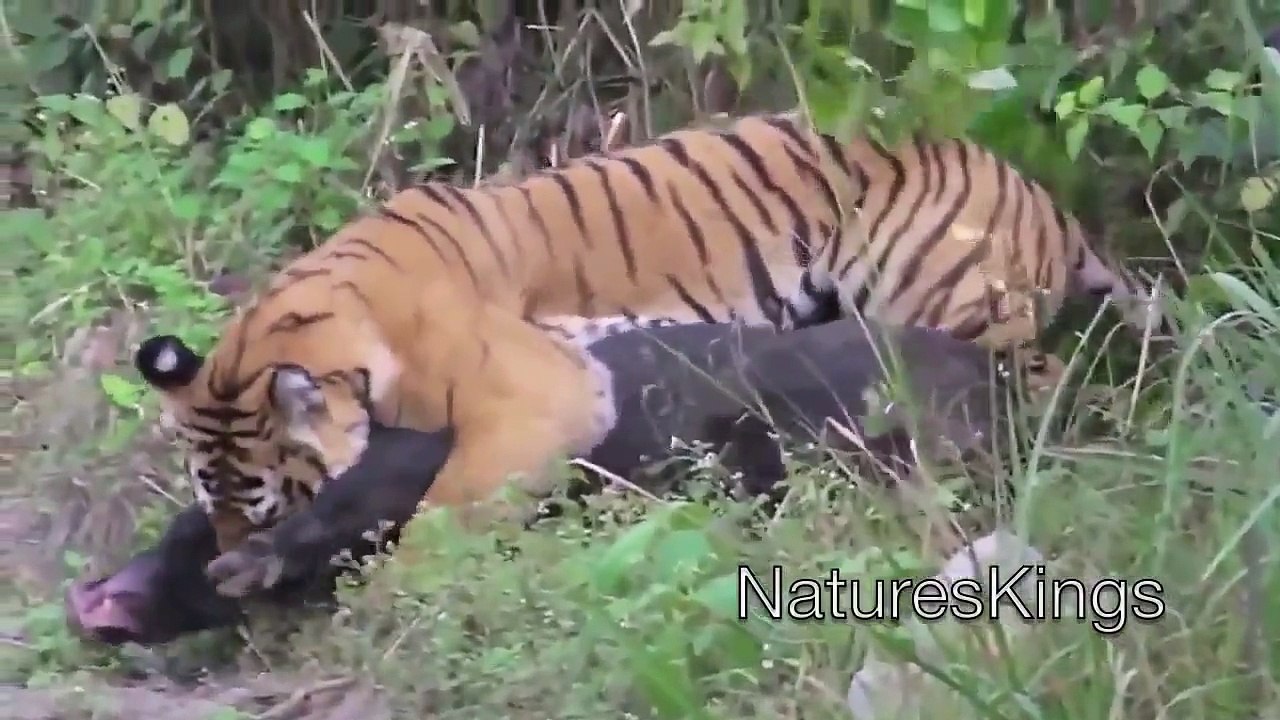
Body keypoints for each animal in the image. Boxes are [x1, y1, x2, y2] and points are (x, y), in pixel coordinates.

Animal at [134, 111, 1159, 553]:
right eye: (210, 501)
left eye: (264, 504)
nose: (221, 560)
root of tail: (1045, 202)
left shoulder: (545, 393)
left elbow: (442, 514)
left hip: (941, 307)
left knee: (1036, 392)